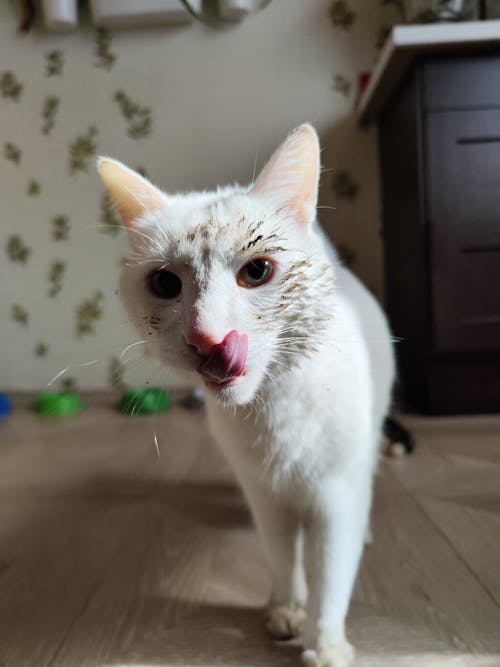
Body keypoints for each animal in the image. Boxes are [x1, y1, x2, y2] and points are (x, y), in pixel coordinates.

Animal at [97, 125, 394, 667]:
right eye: (164, 283)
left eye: (257, 272)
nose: (208, 338)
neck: (272, 413)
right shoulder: (265, 495)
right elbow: (282, 557)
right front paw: (286, 609)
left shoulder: (337, 496)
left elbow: (331, 576)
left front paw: (325, 645)